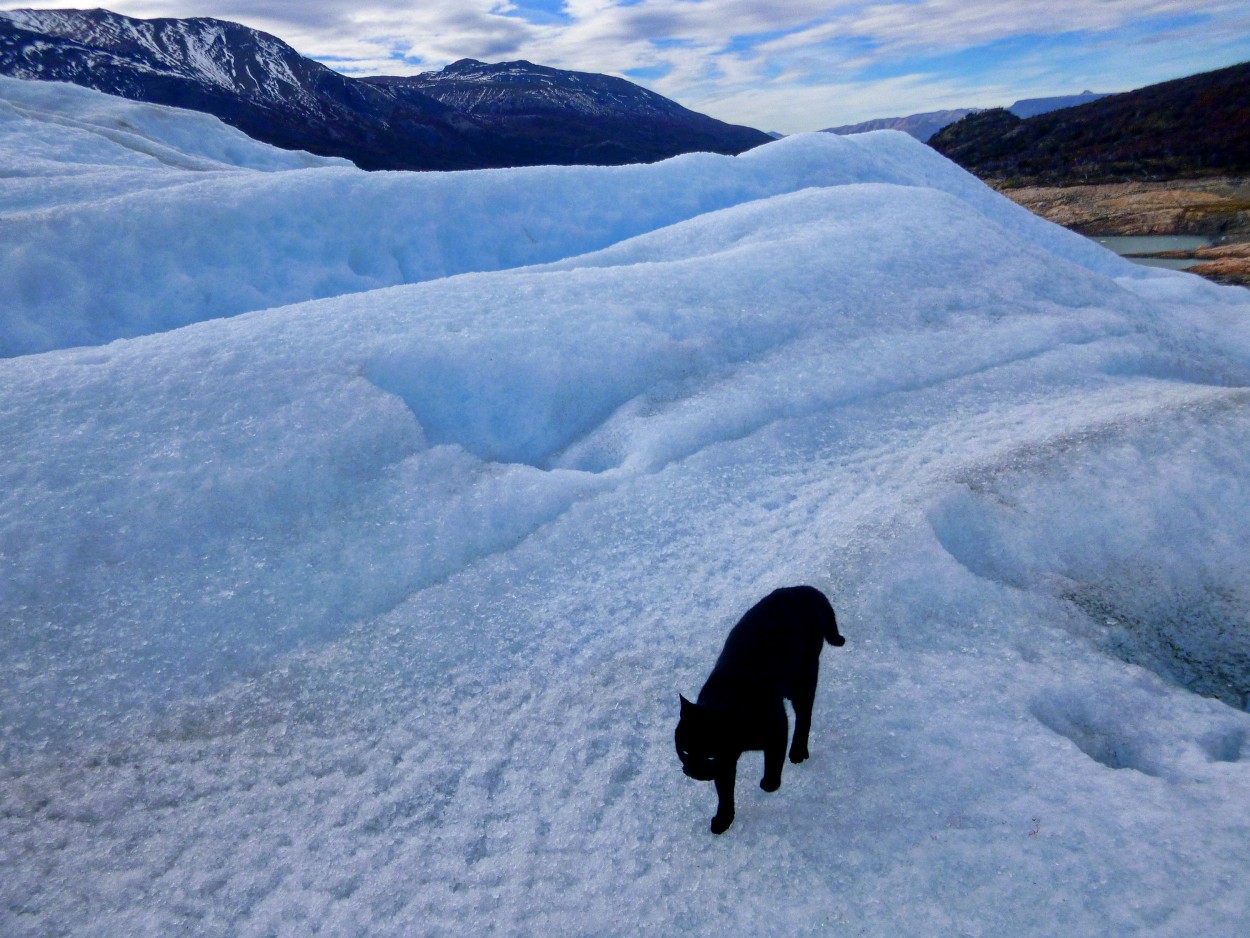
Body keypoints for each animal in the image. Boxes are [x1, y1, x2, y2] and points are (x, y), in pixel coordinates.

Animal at [680, 587, 845, 835]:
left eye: (709, 755)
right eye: (685, 751)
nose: (694, 771)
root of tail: (801, 589)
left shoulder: (776, 727)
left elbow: (773, 760)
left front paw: (769, 784)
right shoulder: (726, 761)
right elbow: (725, 792)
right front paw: (724, 819)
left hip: (805, 677)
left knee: (804, 716)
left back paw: (798, 752)